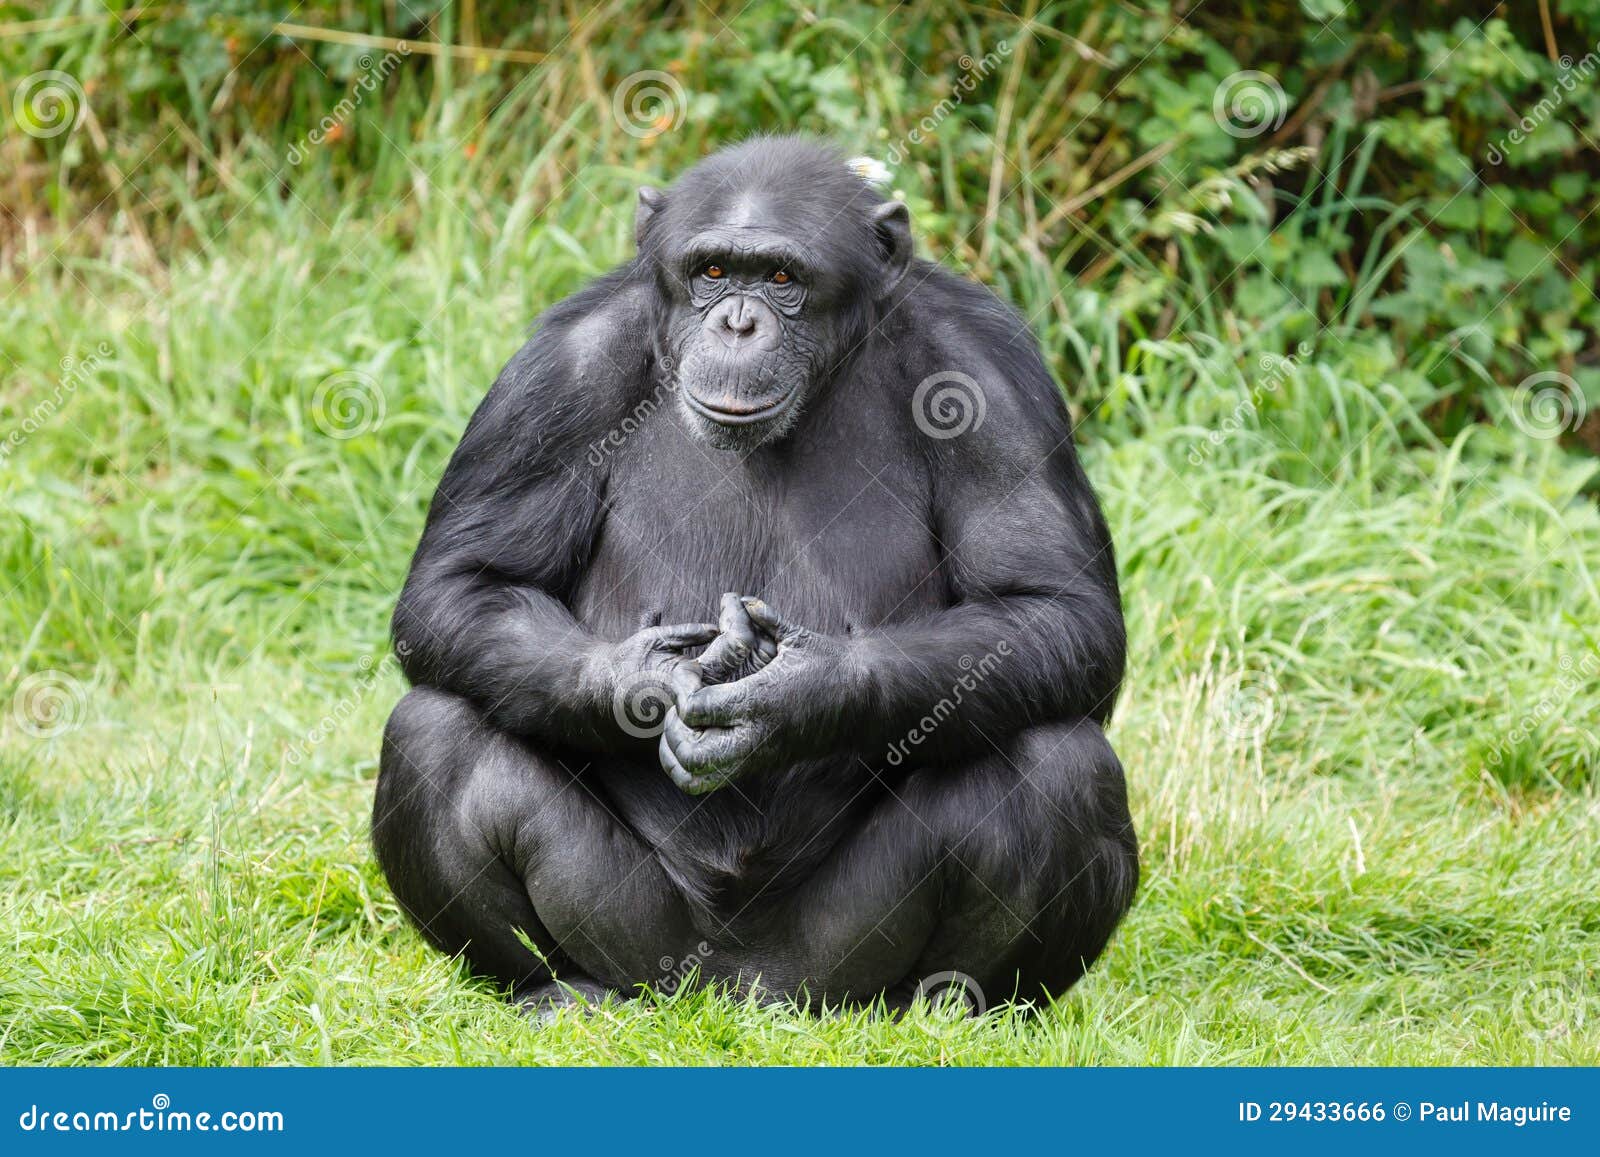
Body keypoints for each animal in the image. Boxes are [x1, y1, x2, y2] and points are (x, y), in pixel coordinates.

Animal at [374, 138, 1139, 1011]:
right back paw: (556, 988)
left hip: (837, 957)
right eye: (711, 271)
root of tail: (740, 989)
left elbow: (1054, 604)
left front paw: (798, 695)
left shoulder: (992, 377)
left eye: (781, 278)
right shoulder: (554, 375)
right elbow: (465, 581)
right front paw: (646, 678)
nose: (738, 321)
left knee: (1060, 763)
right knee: (435, 732)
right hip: (642, 943)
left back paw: (949, 1007)